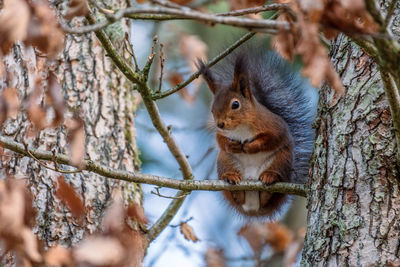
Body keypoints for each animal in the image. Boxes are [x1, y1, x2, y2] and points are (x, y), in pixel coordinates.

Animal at [198, 43, 318, 216]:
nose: (220, 124)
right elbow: (220, 140)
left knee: (269, 192)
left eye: (235, 104)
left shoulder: (274, 127)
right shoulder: (223, 134)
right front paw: (232, 145)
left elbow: (272, 139)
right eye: (212, 109)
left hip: (281, 159)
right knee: (238, 195)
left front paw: (250, 146)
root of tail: (253, 206)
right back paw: (231, 178)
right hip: (225, 160)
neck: (240, 128)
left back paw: (270, 177)